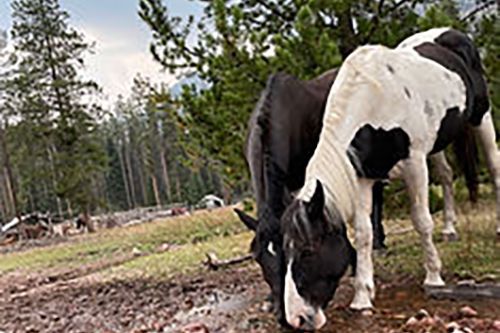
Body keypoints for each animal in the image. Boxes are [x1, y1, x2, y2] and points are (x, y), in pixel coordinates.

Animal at [280, 28, 498, 330]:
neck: (374, 101)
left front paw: (434, 277)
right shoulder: (362, 177)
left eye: (308, 250)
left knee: (494, 166)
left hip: (481, 116)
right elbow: (363, 234)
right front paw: (362, 296)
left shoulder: (414, 164)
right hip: (437, 144)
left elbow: (421, 221)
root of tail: (451, 34)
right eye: (285, 251)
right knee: (447, 175)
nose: (296, 318)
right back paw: (449, 228)